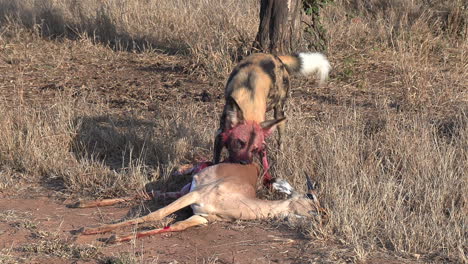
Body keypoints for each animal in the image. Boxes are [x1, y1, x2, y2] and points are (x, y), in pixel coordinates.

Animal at [214, 52, 330, 185]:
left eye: (255, 149)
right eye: (239, 142)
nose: (243, 163)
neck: (249, 106)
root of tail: (274, 56)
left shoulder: (262, 141)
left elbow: (265, 164)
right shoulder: (219, 136)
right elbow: (214, 162)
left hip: (279, 114)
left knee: (280, 140)